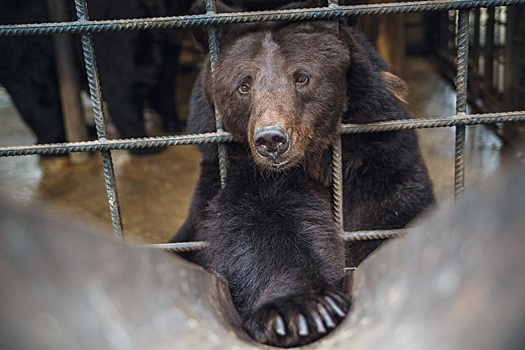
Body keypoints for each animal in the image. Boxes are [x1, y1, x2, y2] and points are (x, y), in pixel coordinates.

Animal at [172, 0, 434, 348]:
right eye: (244, 85)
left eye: (302, 77)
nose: (271, 139)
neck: (314, 161)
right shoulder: (240, 173)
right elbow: (261, 226)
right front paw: (300, 309)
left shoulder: (378, 154)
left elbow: (392, 210)